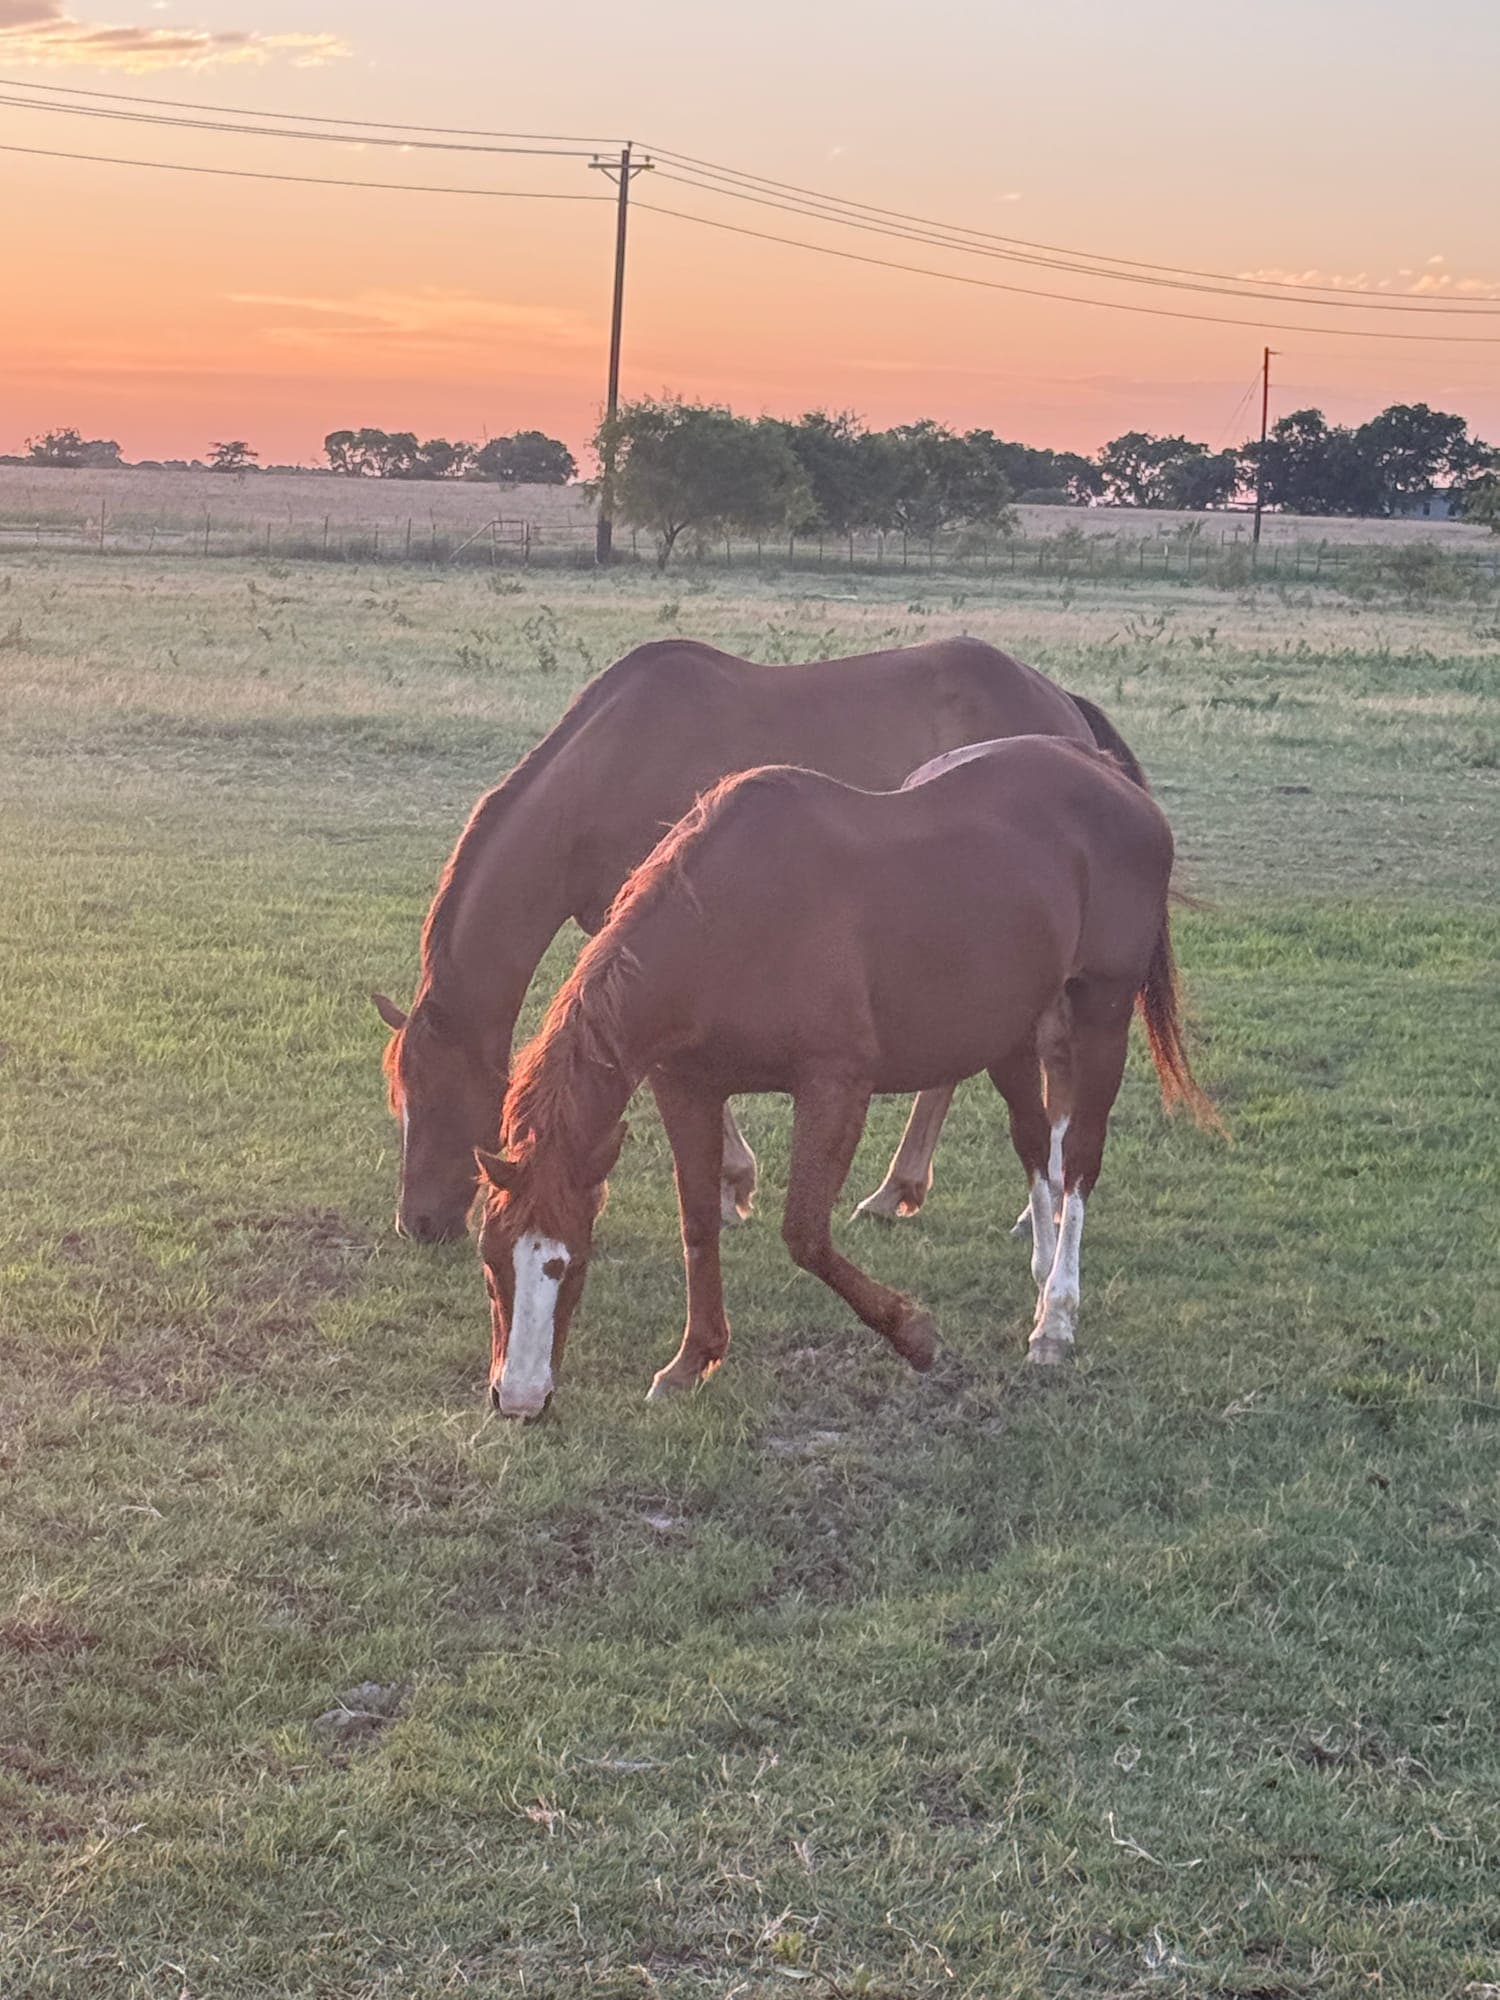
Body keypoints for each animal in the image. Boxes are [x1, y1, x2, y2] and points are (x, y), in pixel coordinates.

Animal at [473, 734, 1215, 1419]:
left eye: (568, 1262)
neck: (728, 921)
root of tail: (1106, 773)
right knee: (1039, 1148)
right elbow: (698, 1223)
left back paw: (1056, 1317)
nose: (518, 1399)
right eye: (490, 1259)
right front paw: (692, 1360)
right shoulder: (685, 1087)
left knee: (1080, 1159)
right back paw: (1039, 1277)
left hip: (1100, 1013)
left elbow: (805, 1234)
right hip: (1014, 1028)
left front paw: (914, 1334)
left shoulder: (835, 1089)